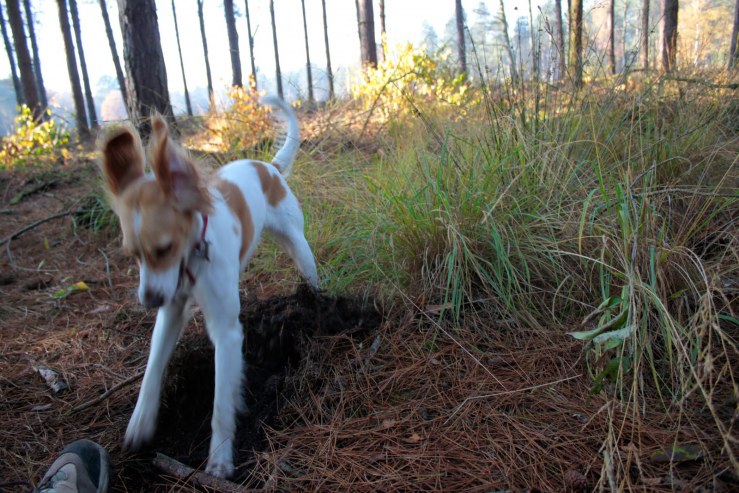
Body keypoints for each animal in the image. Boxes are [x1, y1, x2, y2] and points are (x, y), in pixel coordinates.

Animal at [99, 96, 318, 476]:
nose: (149, 300)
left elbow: (219, 405)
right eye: (132, 254)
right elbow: (152, 370)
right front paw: (141, 423)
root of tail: (268, 166)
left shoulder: (226, 331)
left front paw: (219, 459)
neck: (192, 260)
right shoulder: (171, 310)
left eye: (164, 248)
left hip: (298, 245)